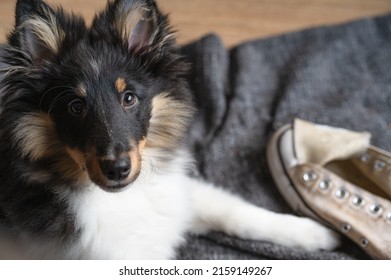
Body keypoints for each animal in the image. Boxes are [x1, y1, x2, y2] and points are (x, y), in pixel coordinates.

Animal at [0, 0, 340, 260]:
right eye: (75, 107)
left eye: (129, 97)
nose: (117, 169)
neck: (123, 197)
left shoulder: (179, 193)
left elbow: (236, 211)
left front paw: (317, 233)